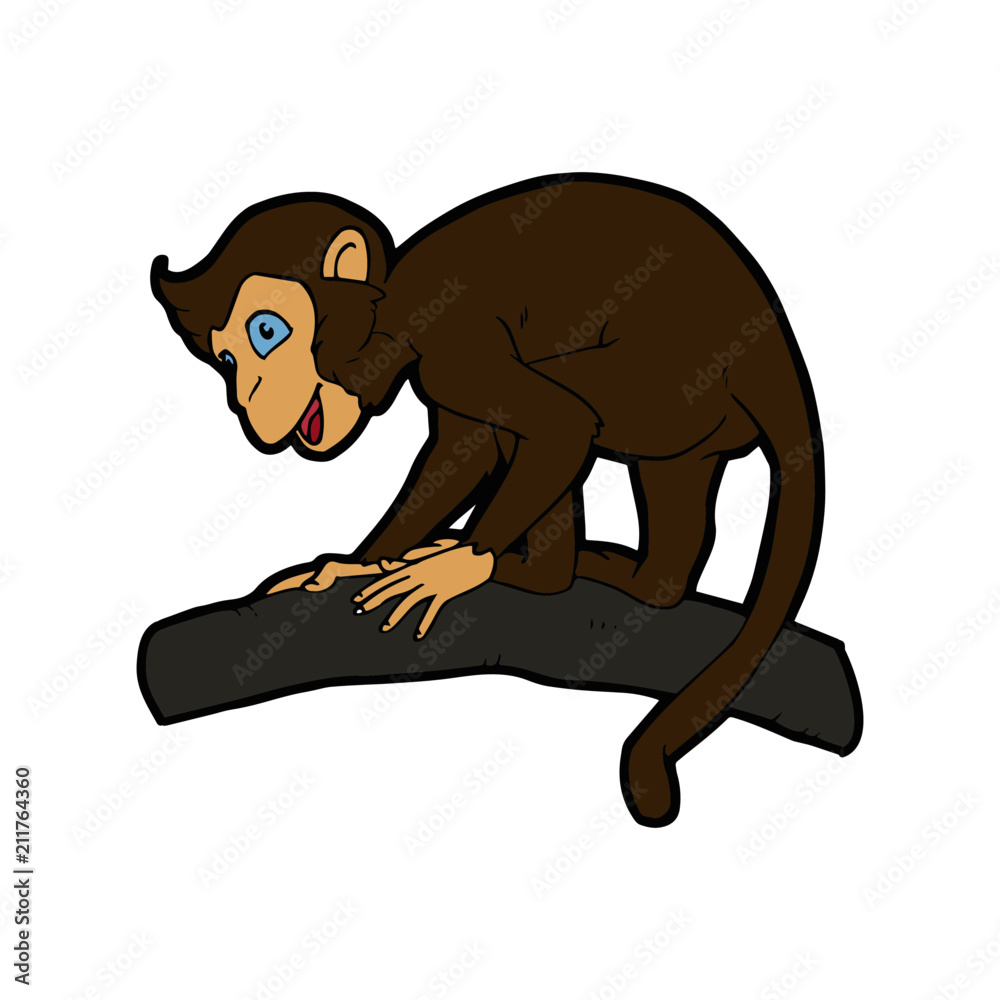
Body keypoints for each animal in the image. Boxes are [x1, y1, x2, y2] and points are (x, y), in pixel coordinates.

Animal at [150, 173, 824, 827]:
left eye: (267, 333)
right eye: (227, 359)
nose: (245, 400)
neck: (396, 303)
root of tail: (775, 344)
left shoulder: (455, 344)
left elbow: (557, 427)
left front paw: (457, 567)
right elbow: (462, 452)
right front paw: (355, 564)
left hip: (669, 376)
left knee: (571, 399)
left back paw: (536, 576)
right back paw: (634, 581)